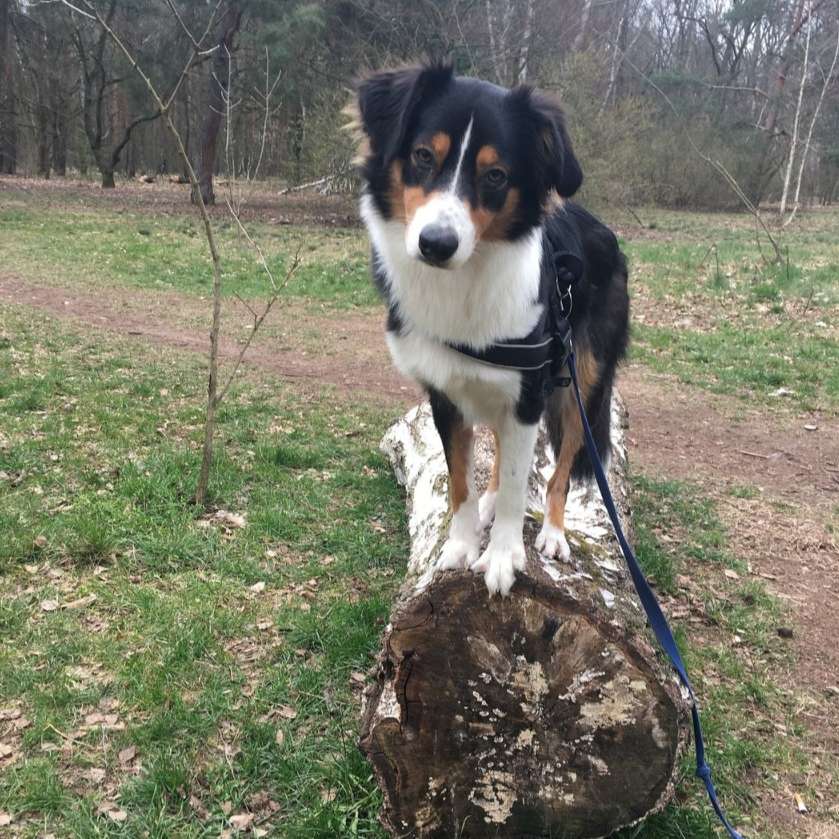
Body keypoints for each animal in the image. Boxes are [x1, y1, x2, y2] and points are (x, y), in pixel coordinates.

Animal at [354, 65, 632, 596]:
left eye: (496, 175)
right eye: (423, 156)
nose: (436, 244)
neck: (464, 279)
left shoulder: (530, 393)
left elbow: (523, 482)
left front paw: (503, 557)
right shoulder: (444, 393)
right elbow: (460, 482)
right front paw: (461, 545)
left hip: (580, 380)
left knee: (563, 465)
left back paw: (553, 532)